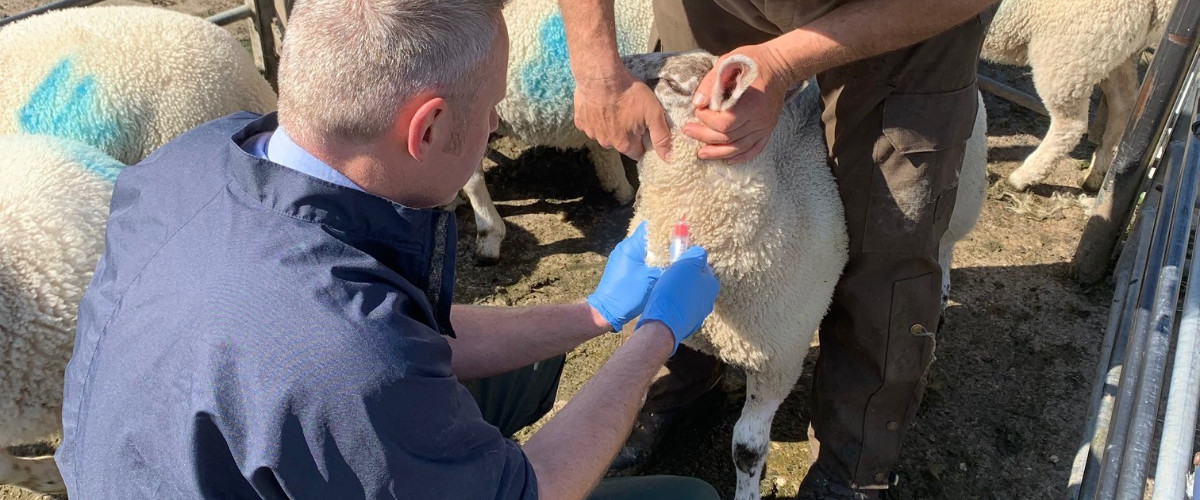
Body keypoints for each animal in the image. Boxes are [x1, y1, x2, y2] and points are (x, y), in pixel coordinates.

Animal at [988, 0, 1176, 190]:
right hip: (1117, 51)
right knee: (1123, 105)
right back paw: (1094, 176)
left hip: (1069, 50)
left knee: (1071, 124)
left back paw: (1023, 177)